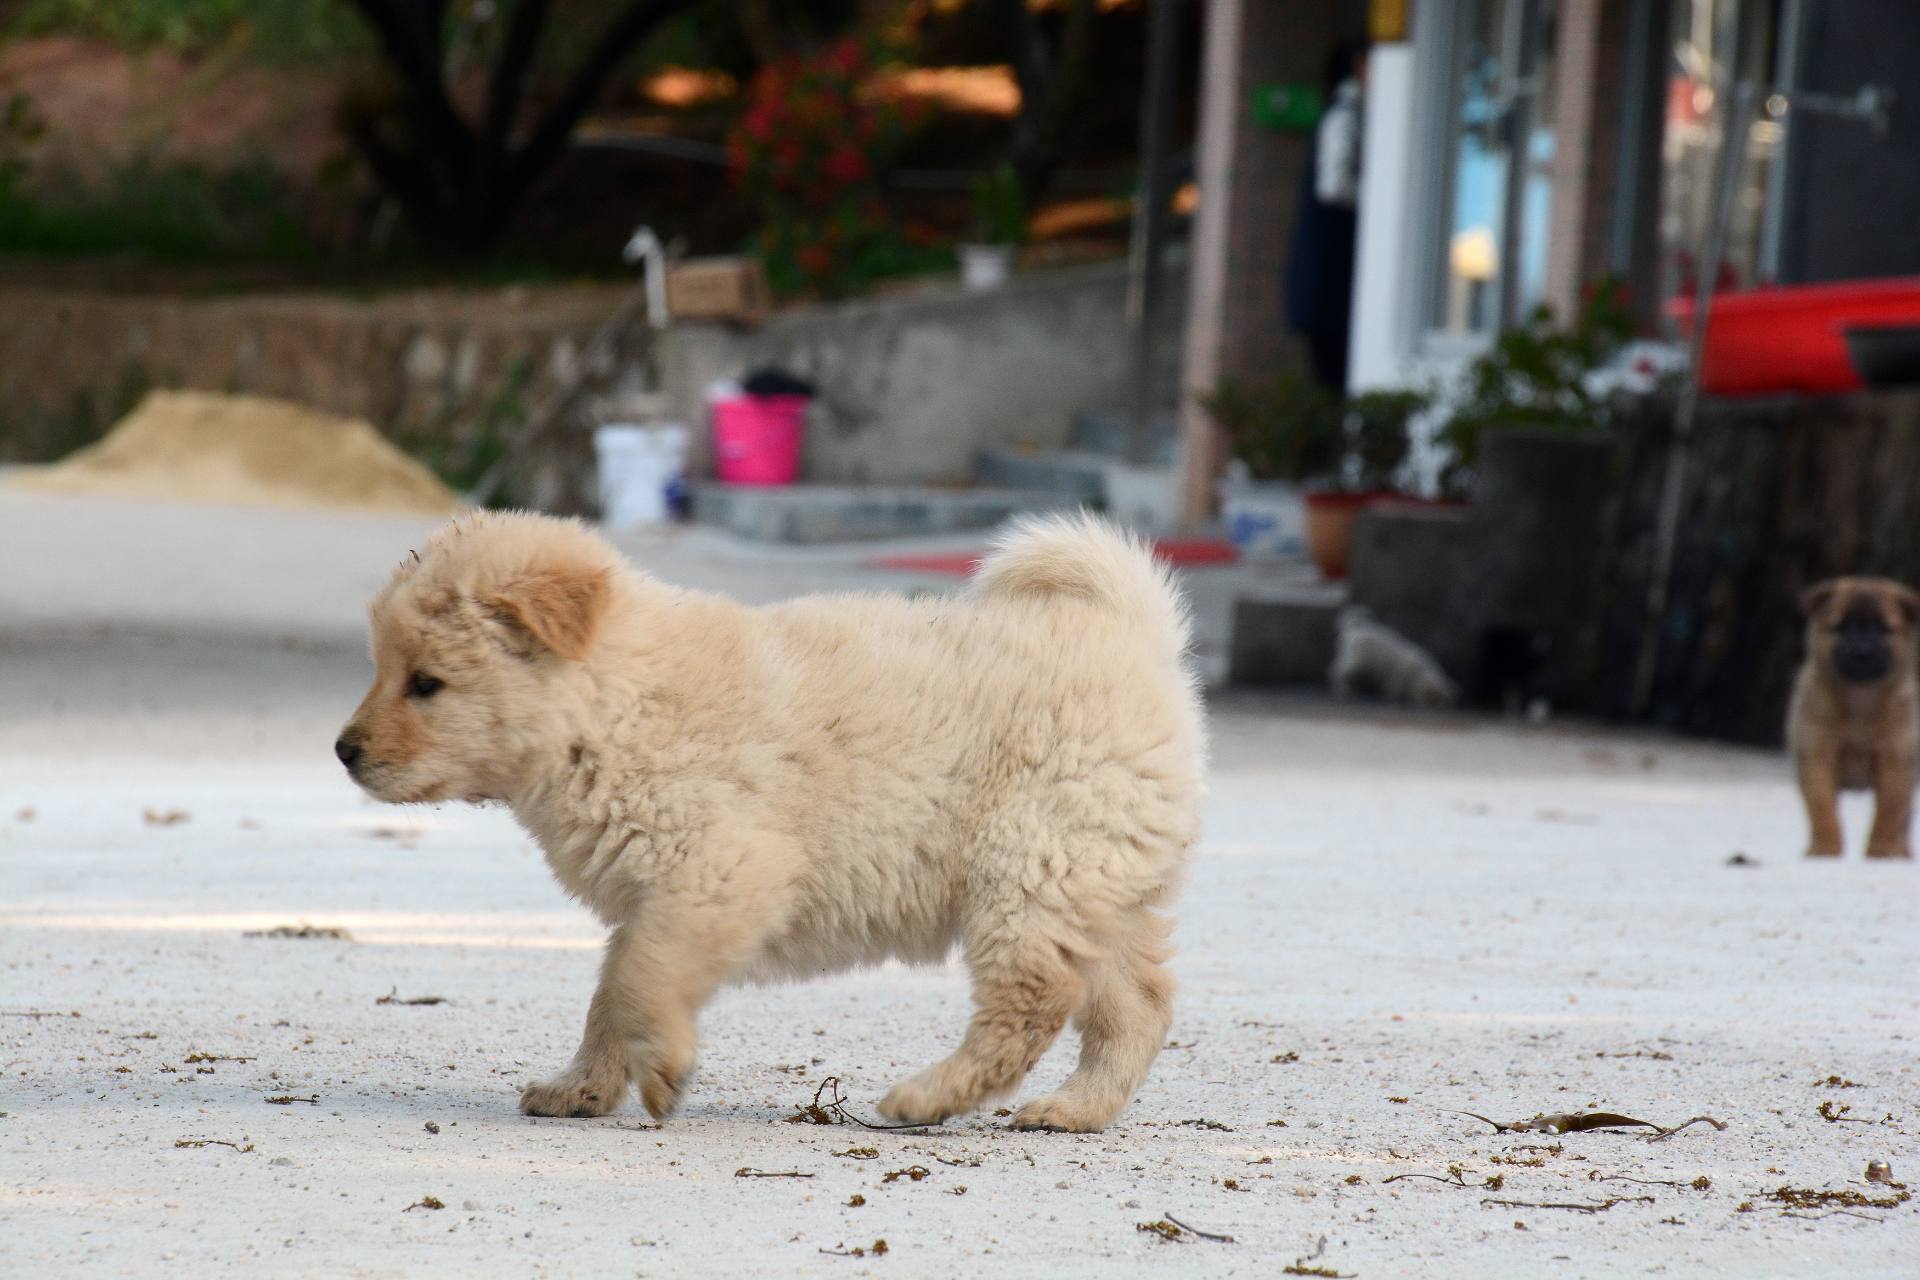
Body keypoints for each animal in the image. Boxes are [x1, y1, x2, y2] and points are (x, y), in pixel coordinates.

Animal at [330, 510, 1198, 1128]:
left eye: (427, 682)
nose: (343, 750)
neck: (613, 705)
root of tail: (1130, 638)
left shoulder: (717, 873)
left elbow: (642, 979)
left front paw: (664, 1068)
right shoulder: (650, 897)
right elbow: (611, 992)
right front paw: (582, 1088)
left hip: (1030, 866)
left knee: (1032, 1002)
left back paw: (927, 1098)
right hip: (1097, 885)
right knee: (1137, 1006)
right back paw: (1075, 1110)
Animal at [1781, 579, 1920, 859]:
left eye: (1883, 629)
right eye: (1841, 627)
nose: (1862, 653)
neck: (1860, 700)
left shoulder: (1897, 763)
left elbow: (1888, 815)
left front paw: (1882, 851)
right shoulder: (1817, 759)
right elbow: (1823, 811)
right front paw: (1824, 850)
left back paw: (1902, 851)